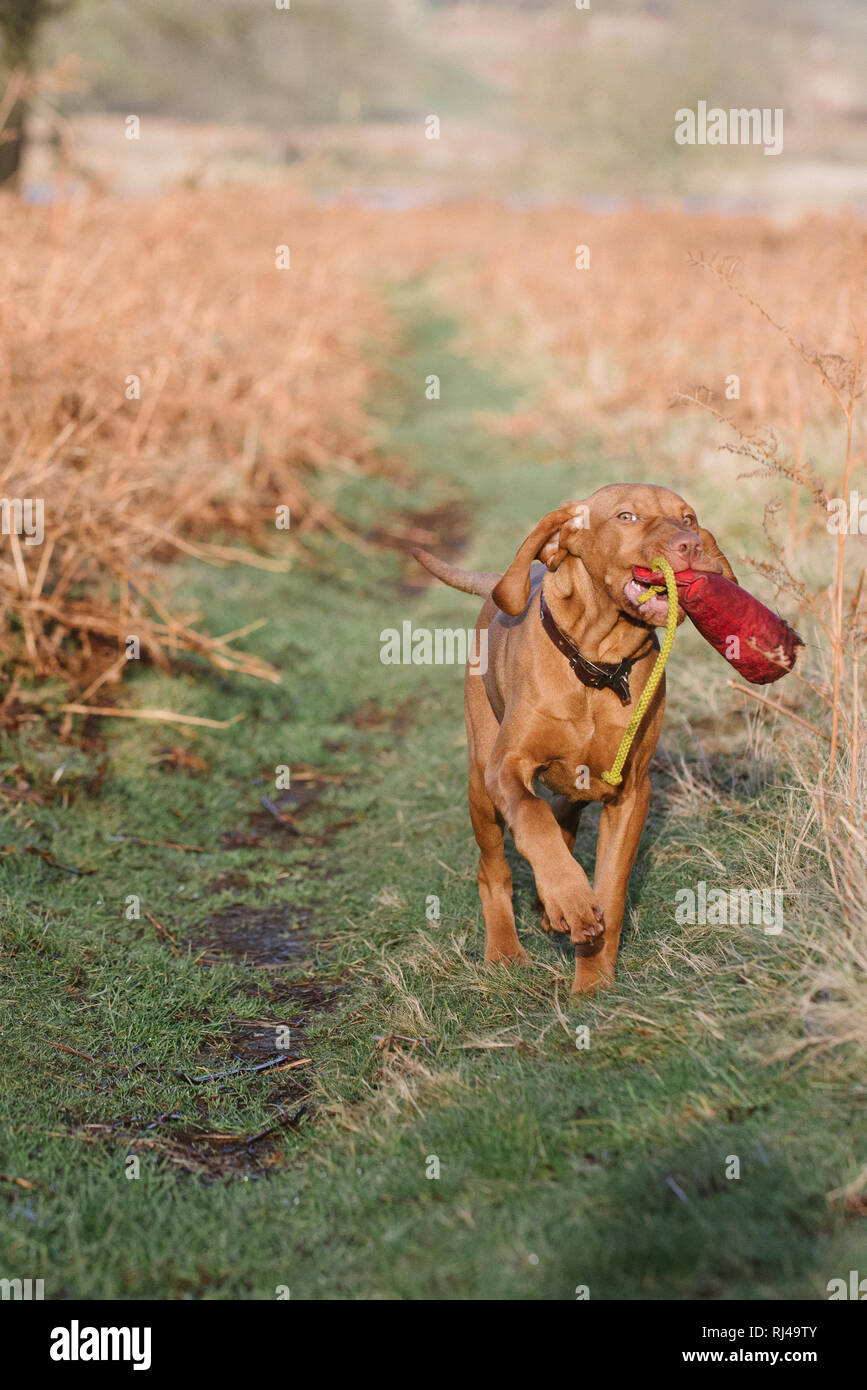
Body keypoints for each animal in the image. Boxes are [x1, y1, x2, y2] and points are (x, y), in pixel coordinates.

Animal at [414, 483, 733, 995]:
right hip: (481, 781)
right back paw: (505, 950)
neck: (598, 667)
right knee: (494, 866)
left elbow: (611, 889)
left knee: (565, 808)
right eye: (626, 517)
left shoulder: (630, 791)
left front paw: (594, 980)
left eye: (688, 518)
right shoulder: (506, 767)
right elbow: (533, 816)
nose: (690, 545)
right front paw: (569, 899)